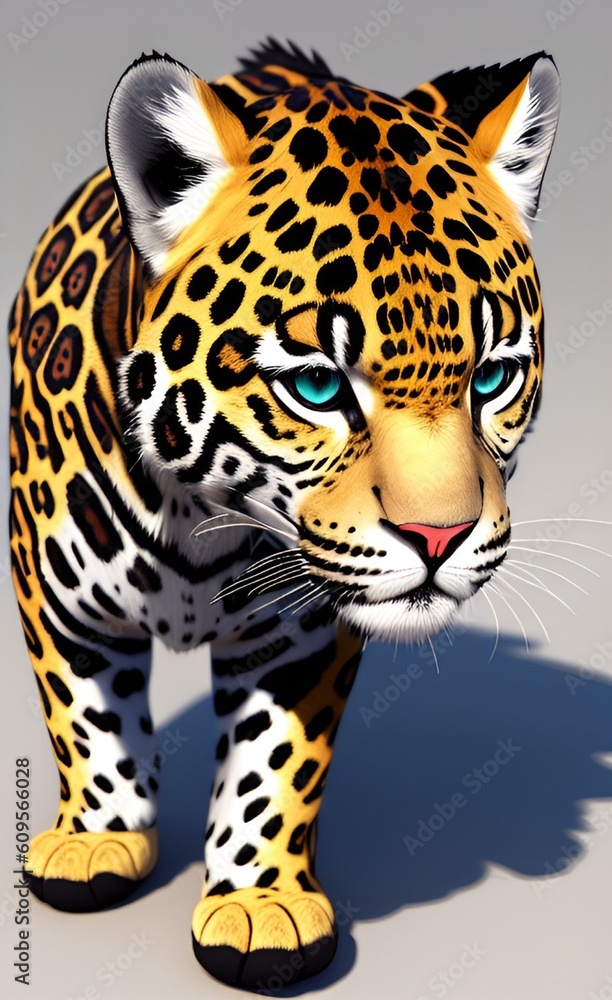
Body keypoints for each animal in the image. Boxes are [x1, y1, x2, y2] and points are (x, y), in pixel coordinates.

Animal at [8, 39, 560, 989]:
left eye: (491, 376)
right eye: (317, 387)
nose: (441, 537)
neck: (194, 514)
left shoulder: (300, 634)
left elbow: (275, 761)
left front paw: (258, 903)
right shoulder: (50, 589)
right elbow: (87, 715)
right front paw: (98, 842)